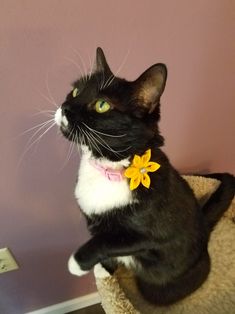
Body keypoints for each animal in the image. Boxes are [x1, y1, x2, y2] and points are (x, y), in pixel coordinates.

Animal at [54, 47, 234, 306]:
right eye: (76, 90)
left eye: (102, 105)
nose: (66, 107)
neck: (109, 167)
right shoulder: (92, 220)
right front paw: (104, 271)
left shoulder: (149, 236)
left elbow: (108, 241)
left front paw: (77, 263)